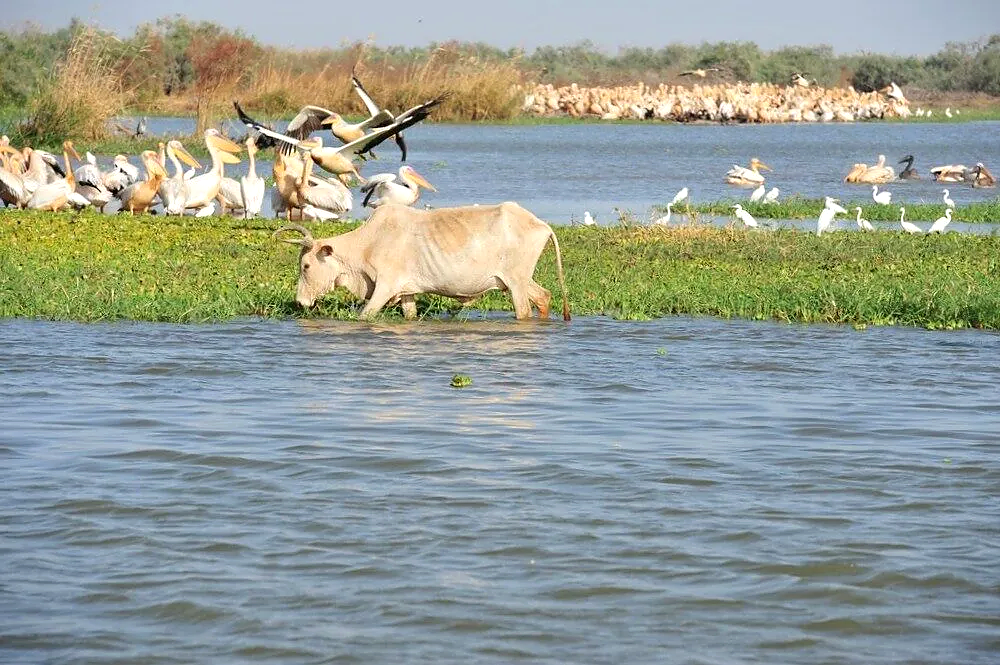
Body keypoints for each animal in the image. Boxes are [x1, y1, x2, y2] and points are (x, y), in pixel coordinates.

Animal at [274, 202, 570, 321]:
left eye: (306, 266)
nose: (300, 302)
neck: (368, 242)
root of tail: (540, 224)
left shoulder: (385, 285)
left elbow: (365, 315)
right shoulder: (407, 291)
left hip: (516, 282)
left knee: (525, 311)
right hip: (519, 280)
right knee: (543, 297)